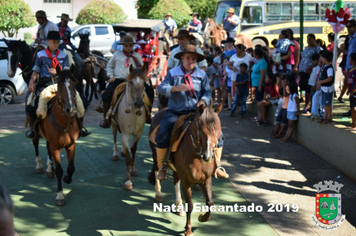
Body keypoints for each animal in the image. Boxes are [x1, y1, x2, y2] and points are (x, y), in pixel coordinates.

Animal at [37, 64, 81, 205]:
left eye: (74, 84)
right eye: (60, 86)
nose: (70, 109)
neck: (63, 123)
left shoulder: (71, 145)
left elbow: (71, 168)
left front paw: (67, 178)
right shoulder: (56, 147)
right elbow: (60, 170)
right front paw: (60, 195)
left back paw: (49, 169)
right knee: (35, 144)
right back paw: (39, 166)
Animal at [148, 103, 222, 236]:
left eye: (218, 129)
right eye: (200, 129)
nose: (208, 156)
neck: (197, 155)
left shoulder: (206, 179)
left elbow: (210, 202)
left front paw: (203, 217)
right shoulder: (187, 182)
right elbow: (190, 205)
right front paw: (188, 229)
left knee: (176, 180)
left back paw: (179, 207)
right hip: (155, 155)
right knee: (157, 170)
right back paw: (158, 193)